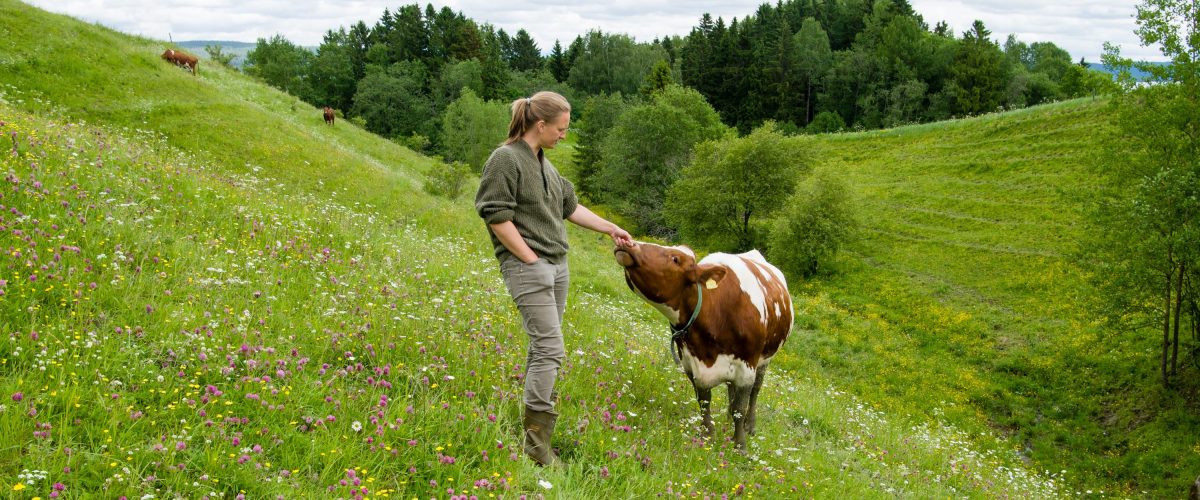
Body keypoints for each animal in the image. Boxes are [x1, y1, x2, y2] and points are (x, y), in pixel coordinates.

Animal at [614, 242, 792, 448]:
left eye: (675, 258)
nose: (629, 243)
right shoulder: (691, 364)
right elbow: (704, 401)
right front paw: (708, 435)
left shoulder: (747, 366)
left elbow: (740, 407)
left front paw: (740, 445)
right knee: (731, 390)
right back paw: (727, 420)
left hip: (765, 359)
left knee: (755, 392)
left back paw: (750, 426)